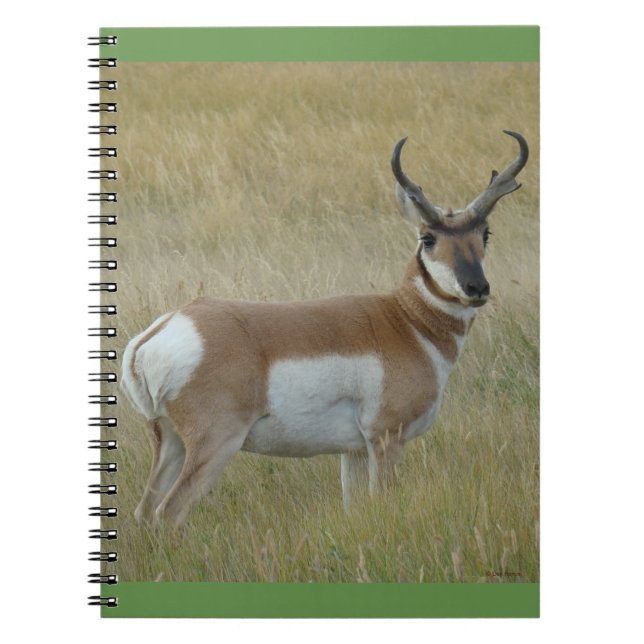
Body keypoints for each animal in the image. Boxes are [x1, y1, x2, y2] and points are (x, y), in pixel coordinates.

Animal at [122, 131, 529, 527]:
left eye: (485, 234)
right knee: (168, 512)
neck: (406, 322)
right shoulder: (386, 439)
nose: (477, 288)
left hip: (170, 441)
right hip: (216, 444)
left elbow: (356, 509)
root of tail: (160, 333)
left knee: (144, 512)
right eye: (428, 237)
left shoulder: (353, 451)